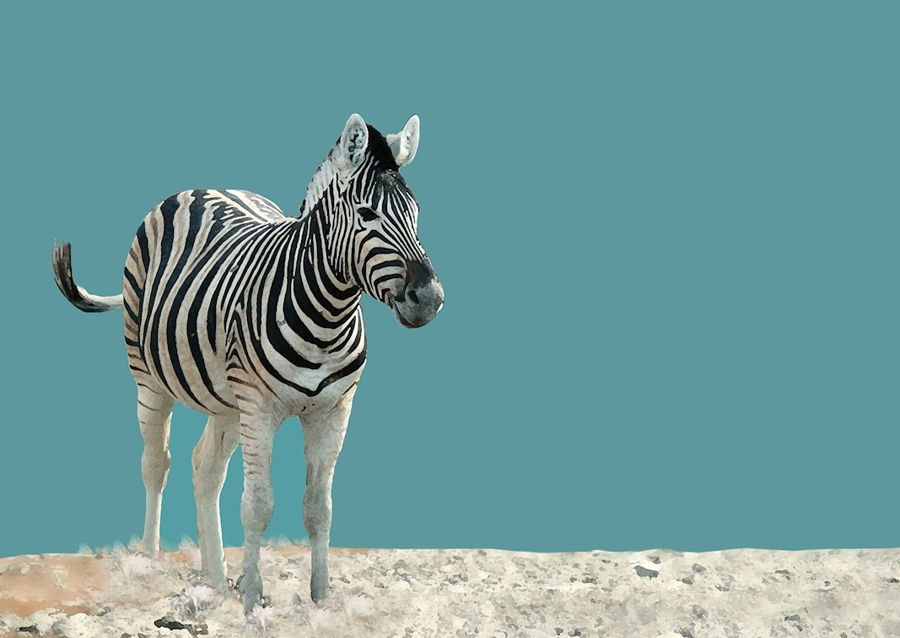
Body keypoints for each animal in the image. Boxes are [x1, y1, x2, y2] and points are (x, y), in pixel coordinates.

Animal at [51, 114, 443, 612]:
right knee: (156, 462)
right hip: (149, 379)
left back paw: (215, 580)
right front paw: (254, 600)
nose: (429, 299)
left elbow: (319, 507)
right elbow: (257, 504)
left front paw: (320, 599)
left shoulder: (333, 409)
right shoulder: (259, 407)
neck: (327, 313)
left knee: (205, 469)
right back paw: (149, 560)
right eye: (367, 214)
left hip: (225, 399)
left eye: (416, 213)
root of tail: (202, 187)